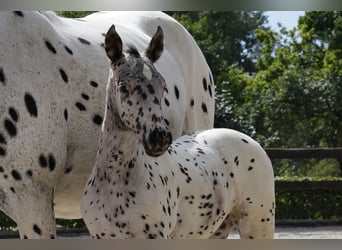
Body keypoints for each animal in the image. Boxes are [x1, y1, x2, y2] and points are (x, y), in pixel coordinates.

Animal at [80, 25, 276, 240]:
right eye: (123, 87)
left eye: (163, 85)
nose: (159, 138)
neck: (116, 178)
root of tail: (250, 141)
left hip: (258, 224)